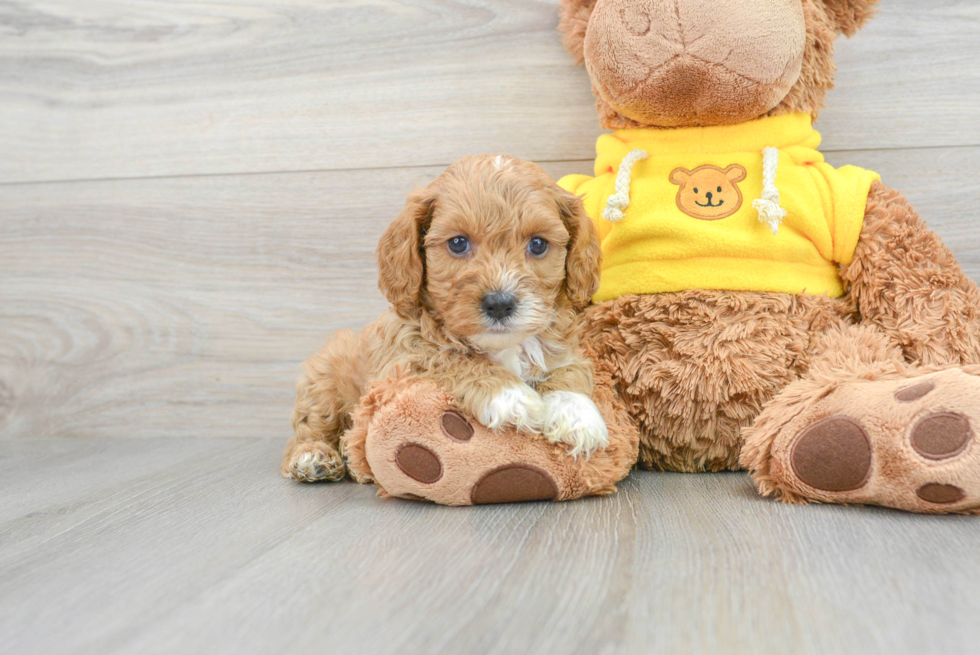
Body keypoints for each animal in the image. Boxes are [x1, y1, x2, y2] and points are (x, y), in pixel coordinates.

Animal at [280, 154, 608, 482]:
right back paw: (314, 456)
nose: (499, 304)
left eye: (538, 244)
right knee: (309, 426)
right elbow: (452, 357)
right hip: (324, 380)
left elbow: (569, 368)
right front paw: (511, 396)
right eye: (458, 243)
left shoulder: (564, 346)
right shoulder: (402, 357)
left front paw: (577, 414)